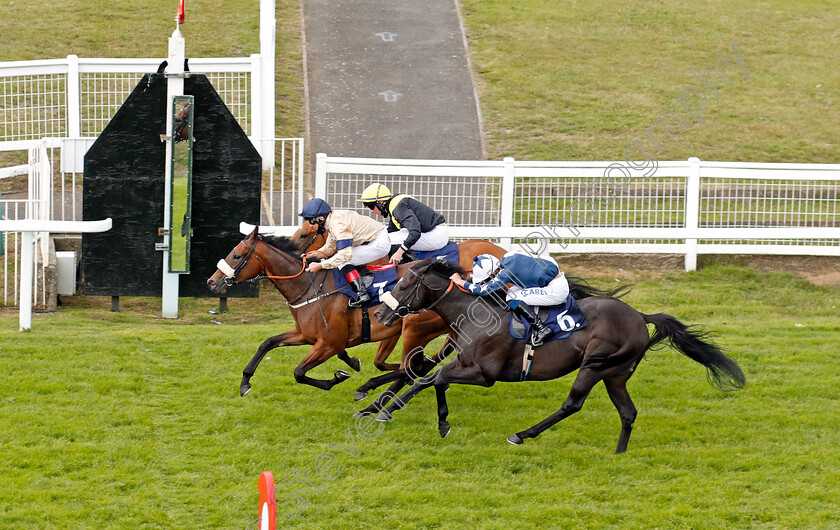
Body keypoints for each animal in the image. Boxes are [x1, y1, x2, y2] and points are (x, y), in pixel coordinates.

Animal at [205, 225, 506, 402]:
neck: (309, 286)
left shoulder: (328, 342)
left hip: (415, 329)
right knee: (415, 365)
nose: (211, 281)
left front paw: (339, 376)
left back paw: (371, 389)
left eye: (236, 255)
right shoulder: (305, 334)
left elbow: (300, 372)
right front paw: (245, 382)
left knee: (413, 367)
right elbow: (267, 343)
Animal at [370, 258, 744, 452]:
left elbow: (432, 379)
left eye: (405, 285)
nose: (381, 315)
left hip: (596, 365)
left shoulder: (484, 373)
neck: (475, 313)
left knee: (572, 404)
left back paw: (522, 435)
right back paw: (619, 453)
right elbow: (433, 379)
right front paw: (416, 415)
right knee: (628, 412)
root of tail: (640, 316)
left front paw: (388, 412)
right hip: (616, 375)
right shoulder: (463, 363)